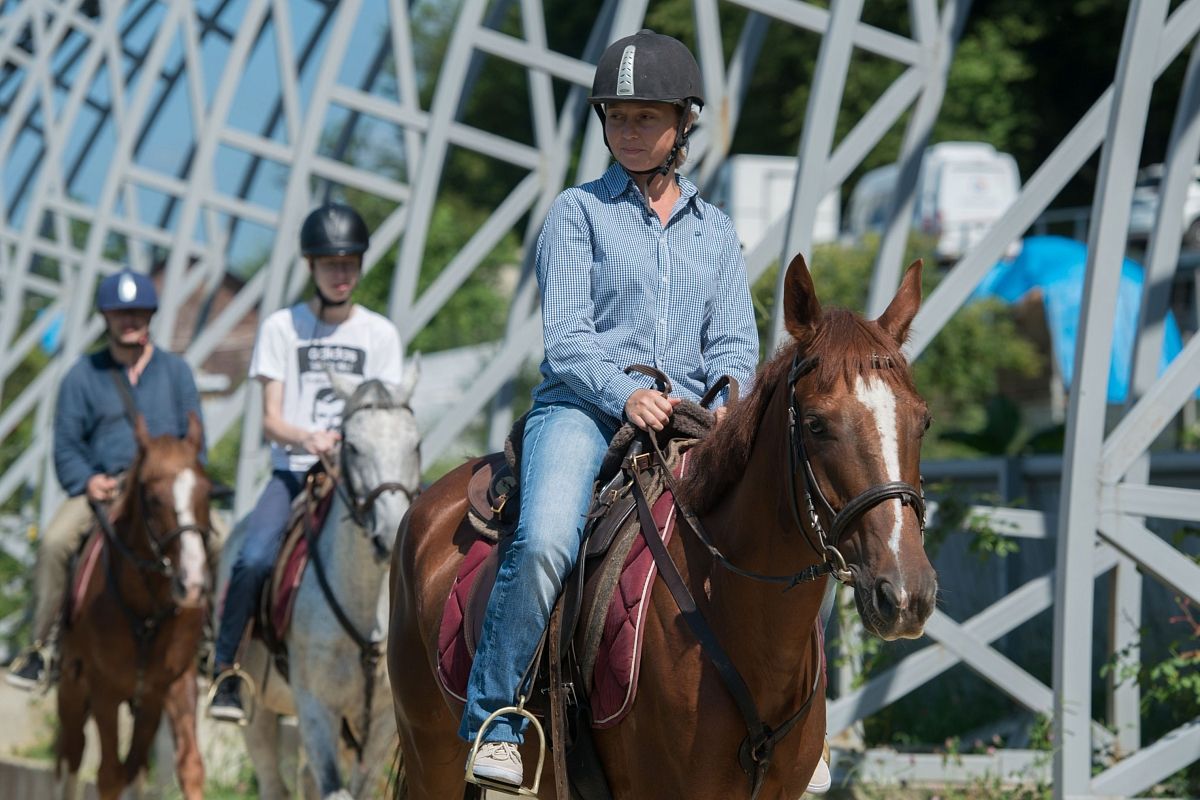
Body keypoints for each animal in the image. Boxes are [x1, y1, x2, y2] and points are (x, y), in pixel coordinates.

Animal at [55, 412, 211, 800]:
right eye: (152, 498)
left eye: (207, 492)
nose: (193, 584)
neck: (147, 611)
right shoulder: (104, 689)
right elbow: (109, 775)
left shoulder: (173, 684)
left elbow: (189, 767)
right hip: (72, 686)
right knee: (72, 753)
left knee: (135, 767)